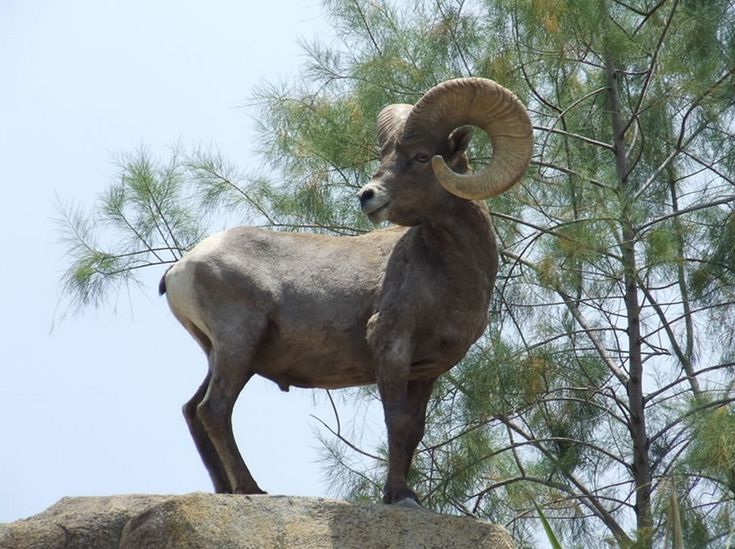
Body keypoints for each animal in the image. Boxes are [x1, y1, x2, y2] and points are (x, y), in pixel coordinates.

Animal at [161, 77, 532, 506]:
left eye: (422, 157)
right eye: (386, 155)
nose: (367, 196)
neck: (450, 272)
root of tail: (182, 267)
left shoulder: (427, 370)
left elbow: (415, 430)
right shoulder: (392, 345)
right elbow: (396, 423)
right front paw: (399, 496)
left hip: (223, 355)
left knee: (193, 410)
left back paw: (226, 490)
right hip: (238, 345)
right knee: (214, 410)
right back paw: (251, 488)